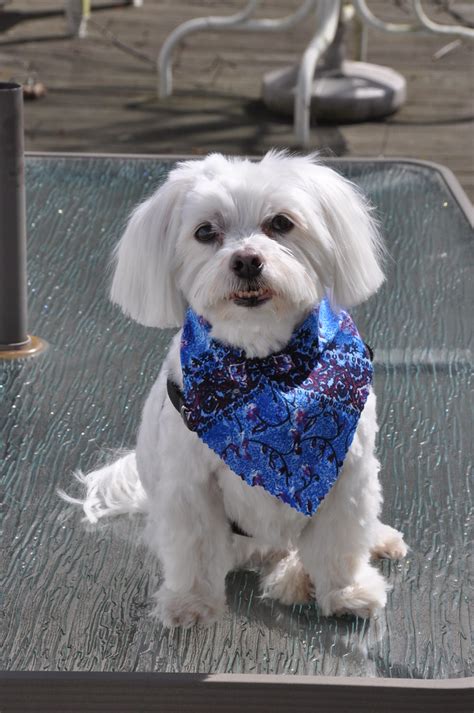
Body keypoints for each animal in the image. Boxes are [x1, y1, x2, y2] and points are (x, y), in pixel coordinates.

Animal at [62, 149, 408, 624]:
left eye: (281, 223)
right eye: (205, 232)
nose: (246, 260)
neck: (263, 368)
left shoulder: (344, 475)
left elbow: (339, 543)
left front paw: (347, 592)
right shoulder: (190, 485)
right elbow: (194, 549)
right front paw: (190, 604)